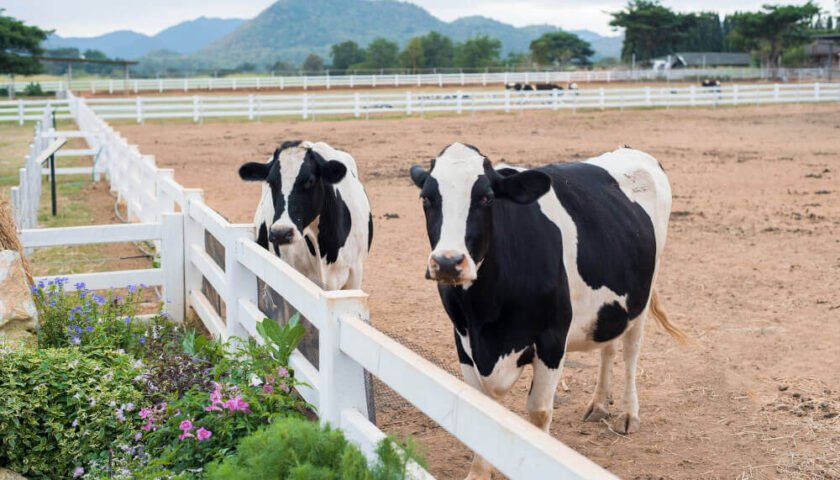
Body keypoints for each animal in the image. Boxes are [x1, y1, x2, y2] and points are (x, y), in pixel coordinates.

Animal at [409, 143, 686, 480]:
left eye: (486, 197)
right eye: (427, 198)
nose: (448, 262)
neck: (487, 318)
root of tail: (630, 150)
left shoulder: (552, 339)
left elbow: (538, 412)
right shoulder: (463, 339)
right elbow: (482, 407)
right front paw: (479, 473)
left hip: (641, 298)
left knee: (631, 353)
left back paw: (628, 413)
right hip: (608, 308)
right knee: (608, 348)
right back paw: (599, 404)